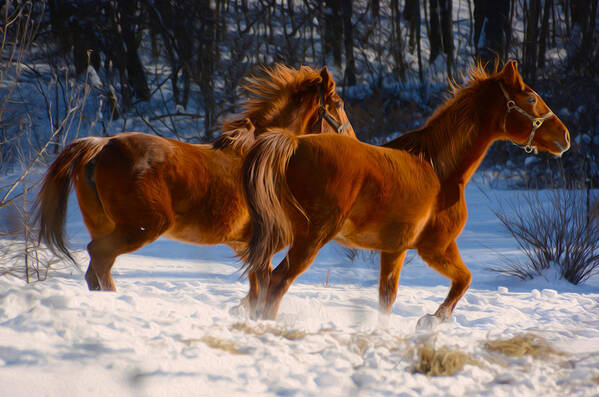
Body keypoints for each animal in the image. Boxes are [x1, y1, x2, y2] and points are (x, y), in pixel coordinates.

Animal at [35, 64, 356, 304]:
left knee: (97, 270)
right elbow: (263, 289)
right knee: (98, 258)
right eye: (338, 104)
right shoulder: (264, 244)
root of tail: (101, 146)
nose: (353, 140)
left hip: (107, 225)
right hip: (143, 227)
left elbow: (257, 286)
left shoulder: (245, 245)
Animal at [243, 59, 572, 324]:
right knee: (277, 282)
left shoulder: (395, 250)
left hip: (283, 232)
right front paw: (431, 321)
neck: (439, 169)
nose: (566, 137)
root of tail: (294, 143)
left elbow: (387, 298)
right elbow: (465, 279)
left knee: (261, 276)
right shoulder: (436, 247)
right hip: (310, 237)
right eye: (531, 97)